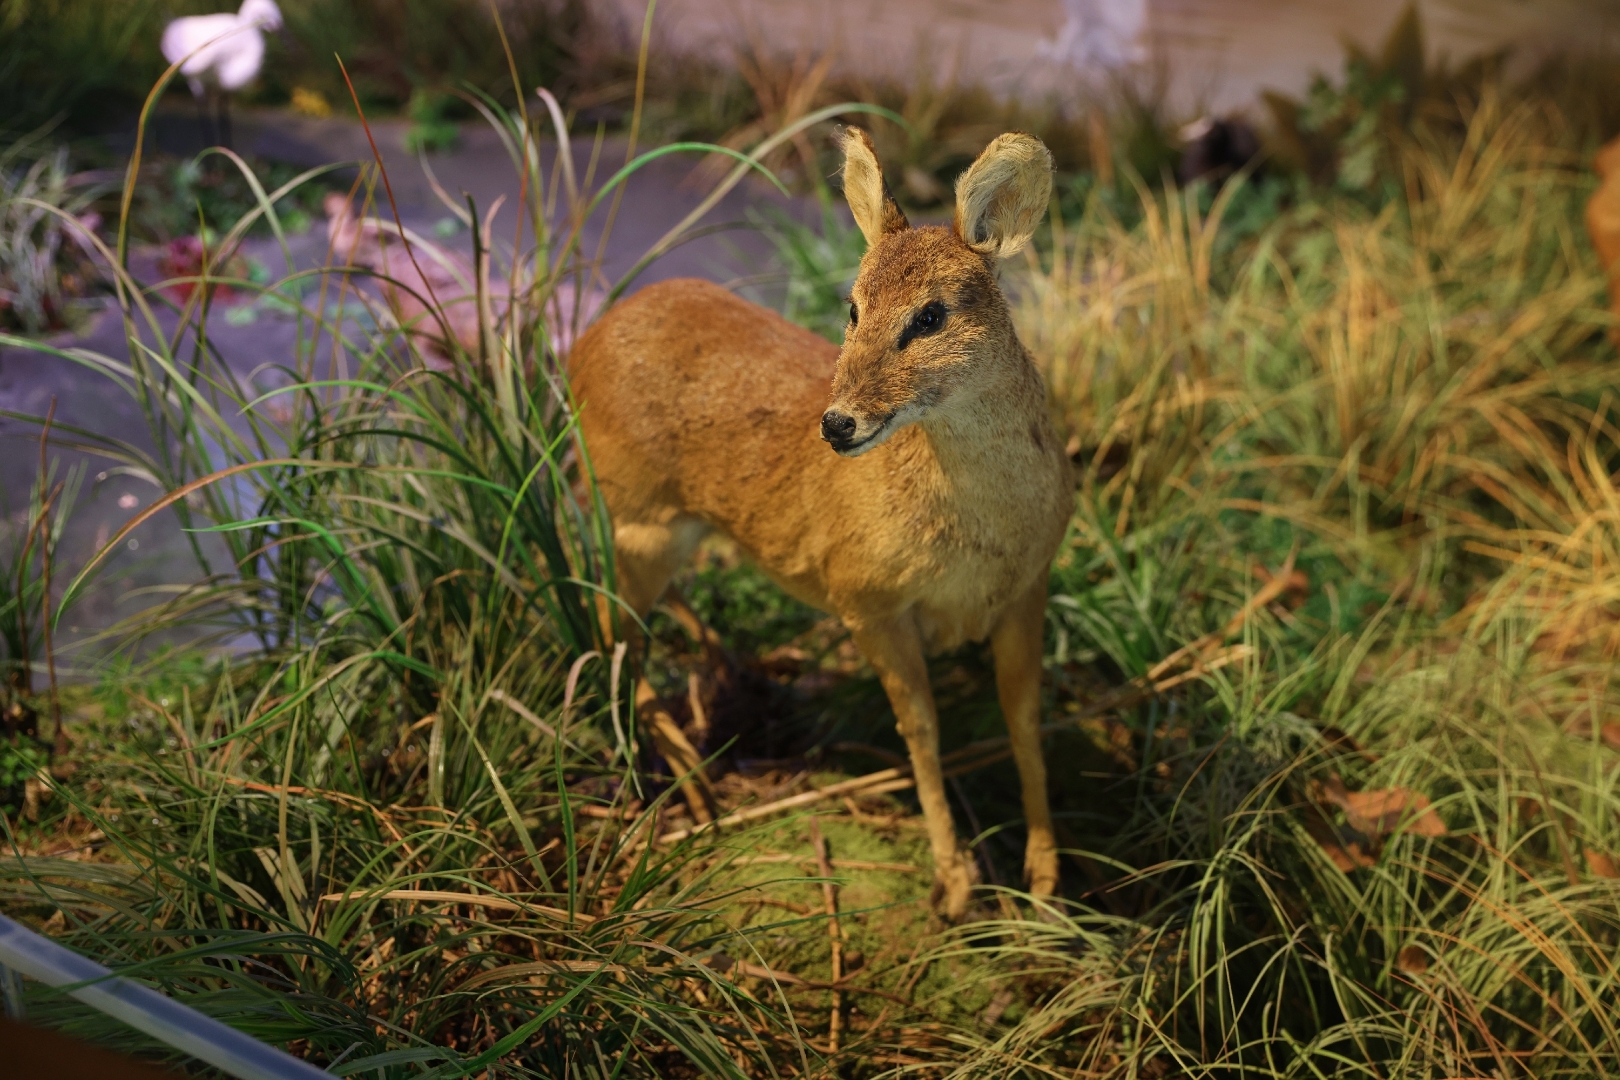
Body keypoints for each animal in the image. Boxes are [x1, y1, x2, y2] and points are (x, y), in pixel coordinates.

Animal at [568, 129, 1072, 919]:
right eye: (852, 306)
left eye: (931, 315)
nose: (837, 424)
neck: (975, 545)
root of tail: (580, 346)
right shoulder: (864, 596)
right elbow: (920, 729)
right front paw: (954, 880)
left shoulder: (1029, 583)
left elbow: (1022, 716)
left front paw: (1046, 876)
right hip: (639, 516)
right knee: (607, 625)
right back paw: (690, 779)